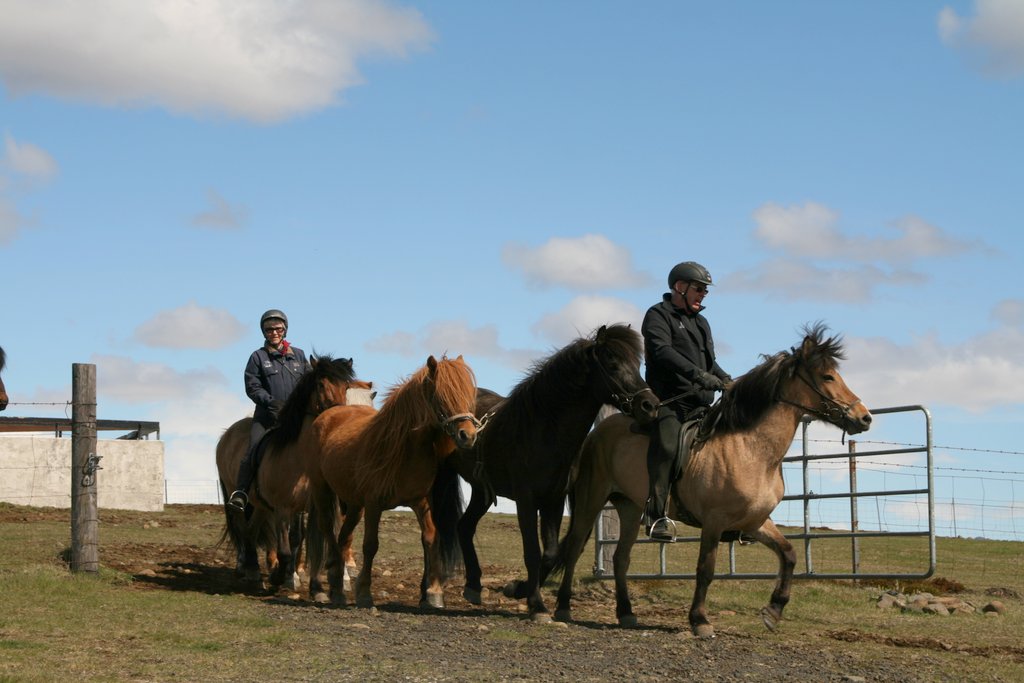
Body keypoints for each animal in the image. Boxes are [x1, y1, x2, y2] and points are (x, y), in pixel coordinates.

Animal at [215, 354, 375, 592]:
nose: (340, 417)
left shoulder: (311, 506)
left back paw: (254, 570)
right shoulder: (283, 507)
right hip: (238, 496)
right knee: (243, 528)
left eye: (345, 387)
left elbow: (307, 538)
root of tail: (227, 434)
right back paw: (248, 567)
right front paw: (285, 576)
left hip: (261, 504)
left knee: (252, 531)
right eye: (320, 384)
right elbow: (287, 545)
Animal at [305, 354, 480, 609]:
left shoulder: (421, 502)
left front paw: (434, 593)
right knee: (328, 528)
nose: (468, 435)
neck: (403, 448)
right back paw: (336, 581)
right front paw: (364, 592)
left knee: (343, 536)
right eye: (441, 396)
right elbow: (371, 545)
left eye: (467, 395)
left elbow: (431, 538)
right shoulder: (374, 504)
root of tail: (329, 414)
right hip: (322, 490)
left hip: (354, 504)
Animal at [450, 324, 660, 622]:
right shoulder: (526, 500)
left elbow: (549, 553)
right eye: (612, 363)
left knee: (465, 527)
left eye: (636, 364)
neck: (543, 429)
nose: (650, 405)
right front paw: (537, 605)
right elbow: (532, 552)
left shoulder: (554, 500)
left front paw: (520, 590)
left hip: (482, 491)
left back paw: (474, 586)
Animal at [552, 323, 873, 638]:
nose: (865, 418)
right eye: (827, 376)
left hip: (630, 507)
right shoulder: (714, 522)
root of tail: (597, 431)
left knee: (620, 558)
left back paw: (627, 613)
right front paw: (700, 620)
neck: (750, 449)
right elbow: (705, 569)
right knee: (576, 547)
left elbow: (789, 554)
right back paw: (563, 608)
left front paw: (773, 610)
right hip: (592, 500)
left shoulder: (756, 522)